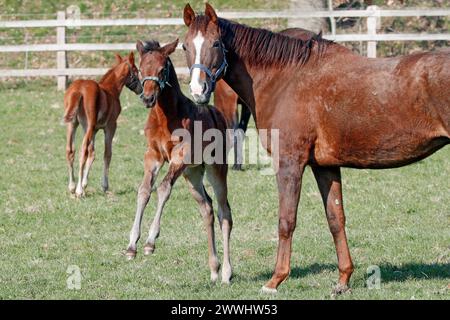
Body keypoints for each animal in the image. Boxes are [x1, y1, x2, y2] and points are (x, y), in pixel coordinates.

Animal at [62, 52, 142, 198]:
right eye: (136, 70)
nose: (140, 89)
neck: (111, 89)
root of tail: (79, 89)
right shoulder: (110, 127)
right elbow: (107, 154)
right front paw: (104, 186)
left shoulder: (93, 129)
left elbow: (92, 153)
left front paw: (85, 184)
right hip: (89, 125)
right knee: (82, 151)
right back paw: (78, 190)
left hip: (73, 124)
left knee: (70, 150)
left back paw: (72, 186)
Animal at [125, 40, 234, 284]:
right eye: (140, 68)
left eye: (161, 69)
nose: (147, 99)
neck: (165, 117)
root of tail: (218, 115)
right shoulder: (153, 156)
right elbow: (144, 190)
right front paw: (131, 246)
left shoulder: (180, 156)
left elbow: (163, 188)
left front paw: (150, 242)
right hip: (192, 174)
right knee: (207, 209)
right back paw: (214, 269)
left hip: (216, 169)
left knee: (224, 213)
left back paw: (226, 273)